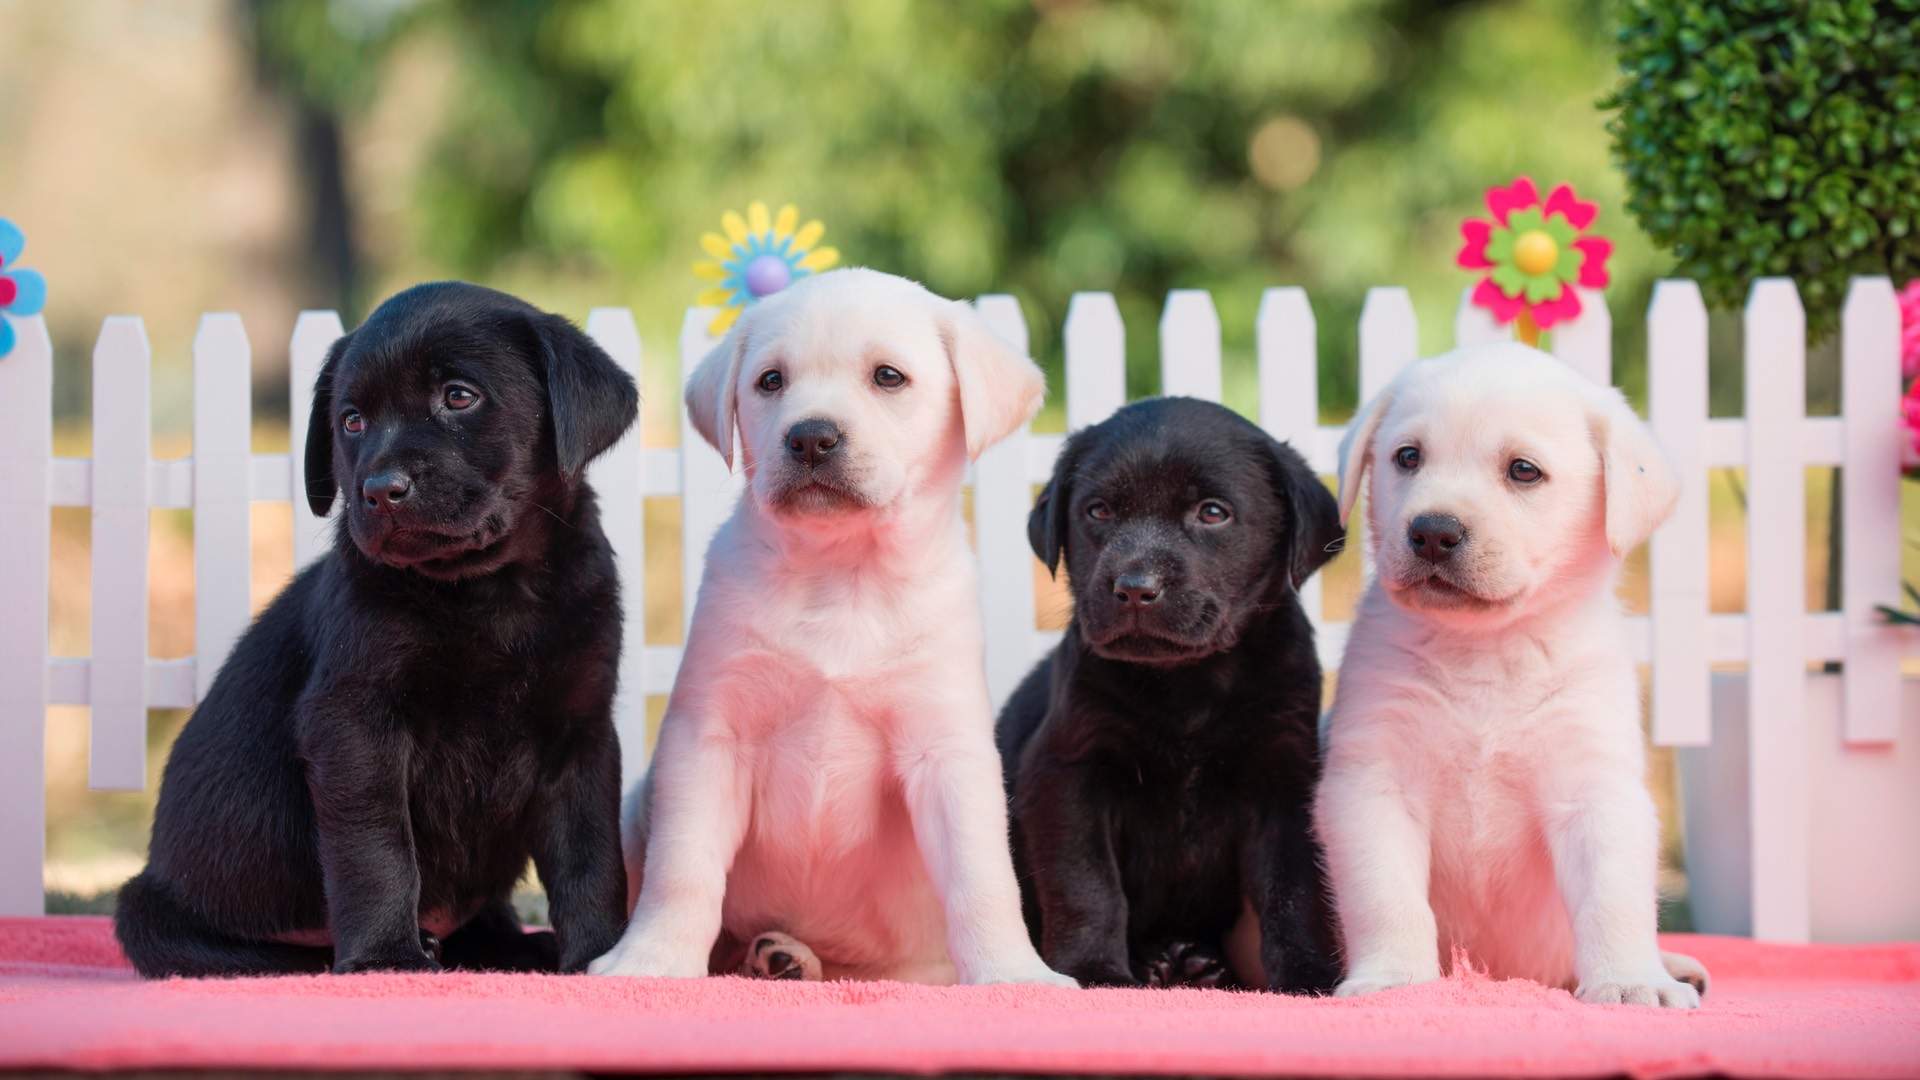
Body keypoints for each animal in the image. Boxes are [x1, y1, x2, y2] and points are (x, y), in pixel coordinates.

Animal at [114, 278, 637, 976]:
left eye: (459, 396)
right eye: (351, 421)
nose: (381, 489)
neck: (490, 591)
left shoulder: (580, 731)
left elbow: (590, 854)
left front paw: (603, 956)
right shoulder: (355, 723)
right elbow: (377, 848)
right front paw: (386, 957)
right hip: (152, 912)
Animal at [591, 267, 1075, 983]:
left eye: (888, 377)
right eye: (771, 381)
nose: (811, 437)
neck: (842, 576)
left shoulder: (947, 749)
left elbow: (982, 878)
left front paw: (1013, 972)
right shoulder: (708, 738)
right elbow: (680, 868)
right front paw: (651, 958)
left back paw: (788, 958)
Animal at [998, 397, 1344, 991]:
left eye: (1212, 512)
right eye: (1097, 512)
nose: (1135, 588)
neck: (1187, 683)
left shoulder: (1286, 778)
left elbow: (1293, 890)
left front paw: (1307, 975)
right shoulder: (1067, 772)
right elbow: (1086, 884)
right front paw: (1093, 972)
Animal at [1320, 342, 1712, 999]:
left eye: (1523, 470)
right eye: (1408, 457)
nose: (1433, 531)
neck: (1487, 651)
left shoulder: (1595, 787)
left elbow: (1614, 899)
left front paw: (1631, 981)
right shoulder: (1373, 784)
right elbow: (1388, 896)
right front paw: (1395, 978)